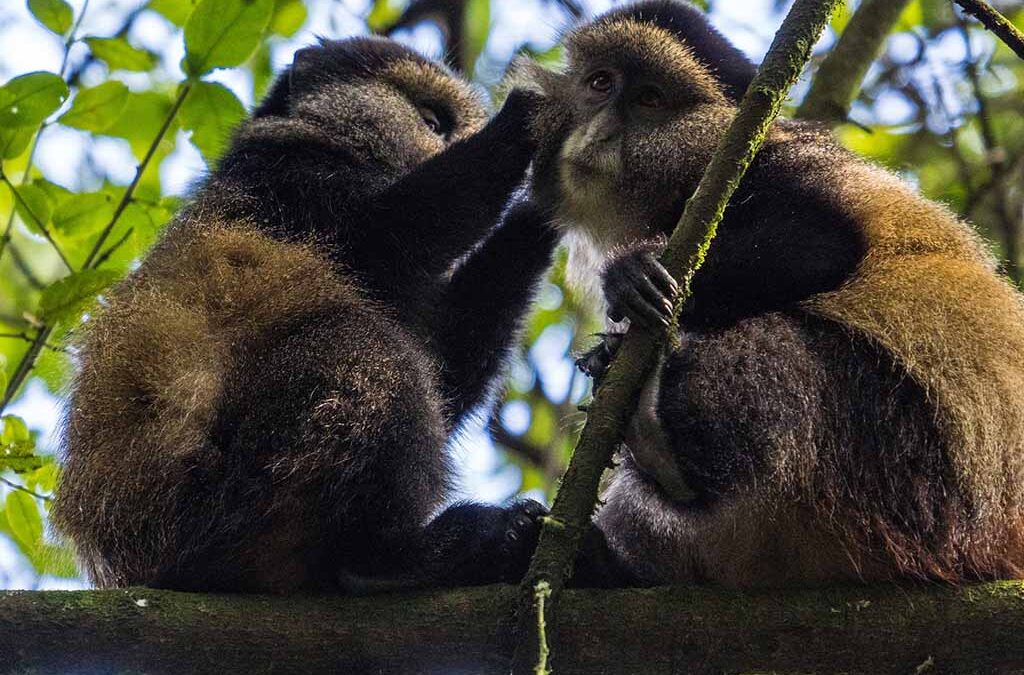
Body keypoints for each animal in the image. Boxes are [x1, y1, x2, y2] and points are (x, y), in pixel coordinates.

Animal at [52, 37, 562, 593]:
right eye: (432, 122)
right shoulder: (286, 174)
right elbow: (392, 229)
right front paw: (524, 119)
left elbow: (446, 369)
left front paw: (542, 216)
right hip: (233, 498)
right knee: (364, 346)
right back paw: (386, 560)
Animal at [520, 0, 1024, 587]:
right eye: (599, 83)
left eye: (649, 99)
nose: (598, 132)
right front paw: (605, 350)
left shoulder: (749, 169)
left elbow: (821, 242)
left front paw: (632, 275)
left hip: (908, 469)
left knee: (776, 348)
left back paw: (659, 446)